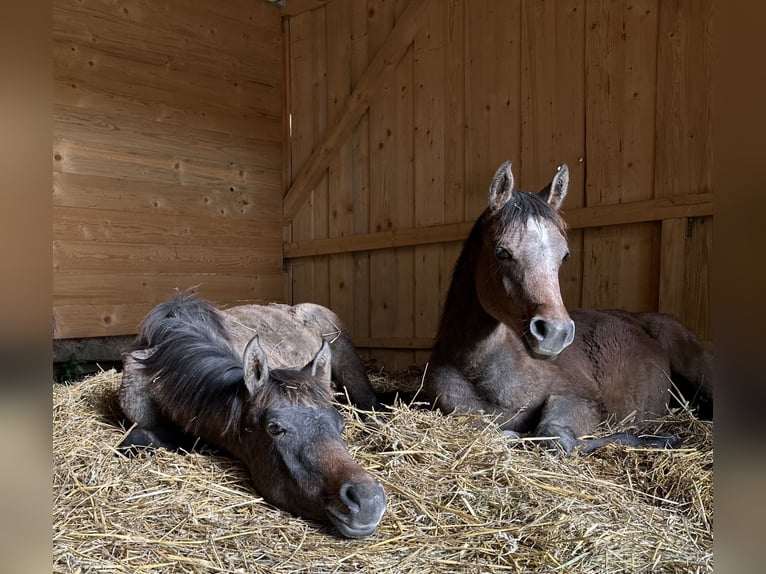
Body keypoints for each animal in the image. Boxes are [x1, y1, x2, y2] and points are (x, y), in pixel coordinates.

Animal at [423, 160, 713, 453]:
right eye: (501, 252)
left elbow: (552, 434)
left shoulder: (581, 400)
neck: (480, 370)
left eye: (564, 256)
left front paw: (658, 438)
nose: (555, 333)